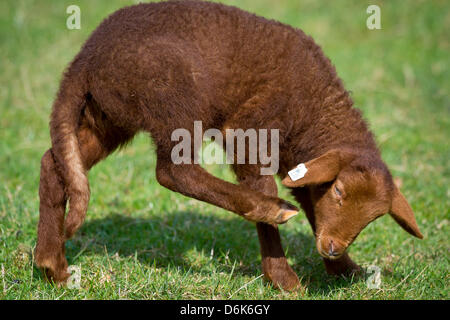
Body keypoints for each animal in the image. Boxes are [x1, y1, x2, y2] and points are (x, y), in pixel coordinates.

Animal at [34, 0, 422, 292]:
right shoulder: (248, 130)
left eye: (373, 218)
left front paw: (345, 270)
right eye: (340, 191)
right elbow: (265, 186)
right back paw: (270, 210)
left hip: (108, 116)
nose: (332, 248)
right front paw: (283, 278)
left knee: (55, 163)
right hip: (171, 97)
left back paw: (52, 265)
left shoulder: (301, 166)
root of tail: (86, 59)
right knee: (173, 171)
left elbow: (310, 201)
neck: (315, 113)